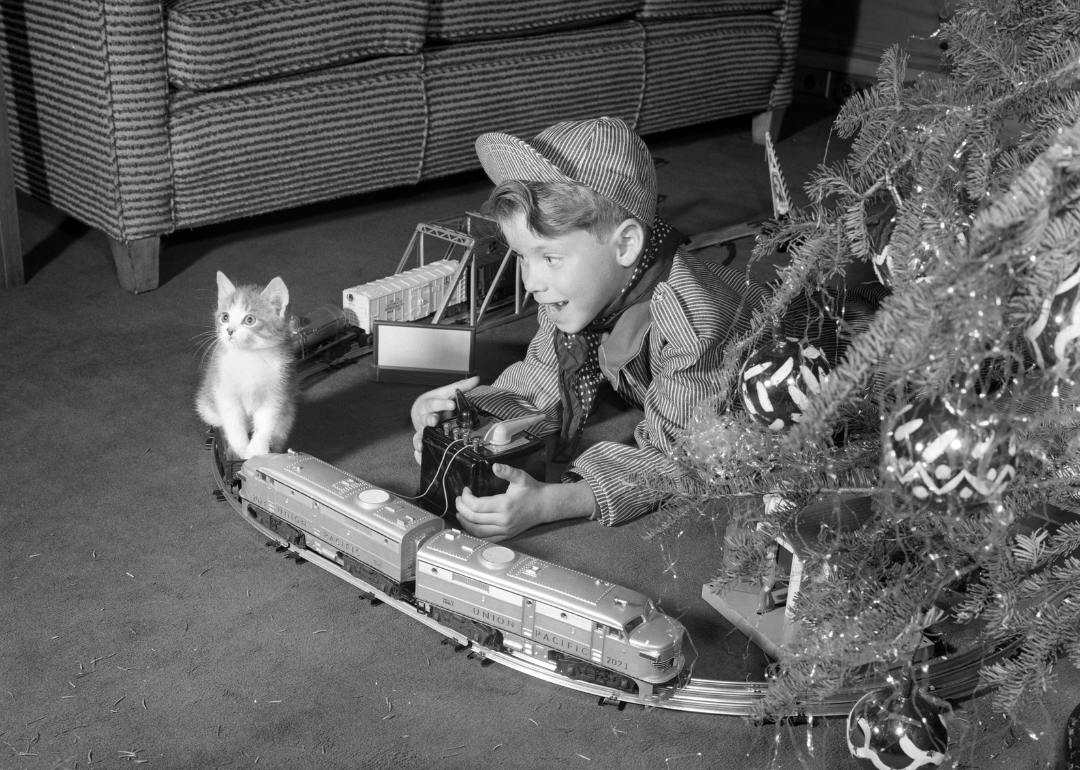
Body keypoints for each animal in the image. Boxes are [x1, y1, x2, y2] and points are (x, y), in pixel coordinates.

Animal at [196, 272, 298, 455]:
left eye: (250, 320)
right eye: (225, 317)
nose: (230, 330)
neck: (249, 357)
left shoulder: (277, 389)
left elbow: (266, 422)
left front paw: (256, 451)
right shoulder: (224, 390)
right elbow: (233, 422)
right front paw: (240, 450)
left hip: (289, 412)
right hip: (206, 405)